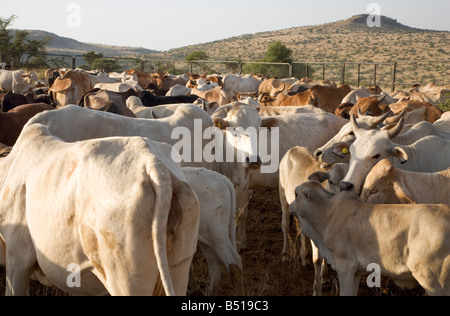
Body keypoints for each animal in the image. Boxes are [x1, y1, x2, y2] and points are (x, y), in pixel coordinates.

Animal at [288, 180, 450, 296]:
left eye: (296, 194)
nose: (289, 207)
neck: (327, 214)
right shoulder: (356, 272)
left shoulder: (345, 267)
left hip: (435, 283)